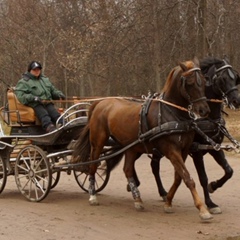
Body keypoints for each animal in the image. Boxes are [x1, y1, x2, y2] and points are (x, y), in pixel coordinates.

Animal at [72, 57, 211, 220]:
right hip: (98, 143)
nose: (204, 110)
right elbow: (187, 177)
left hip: (132, 147)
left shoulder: (183, 150)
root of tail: (100, 102)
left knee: (127, 170)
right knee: (93, 166)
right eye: (189, 83)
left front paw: (168, 201)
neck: (172, 114)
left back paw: (137, 198)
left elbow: (178, 178)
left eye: (203, 80)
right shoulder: (171, 150)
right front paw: (202, 208)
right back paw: (93, 195)